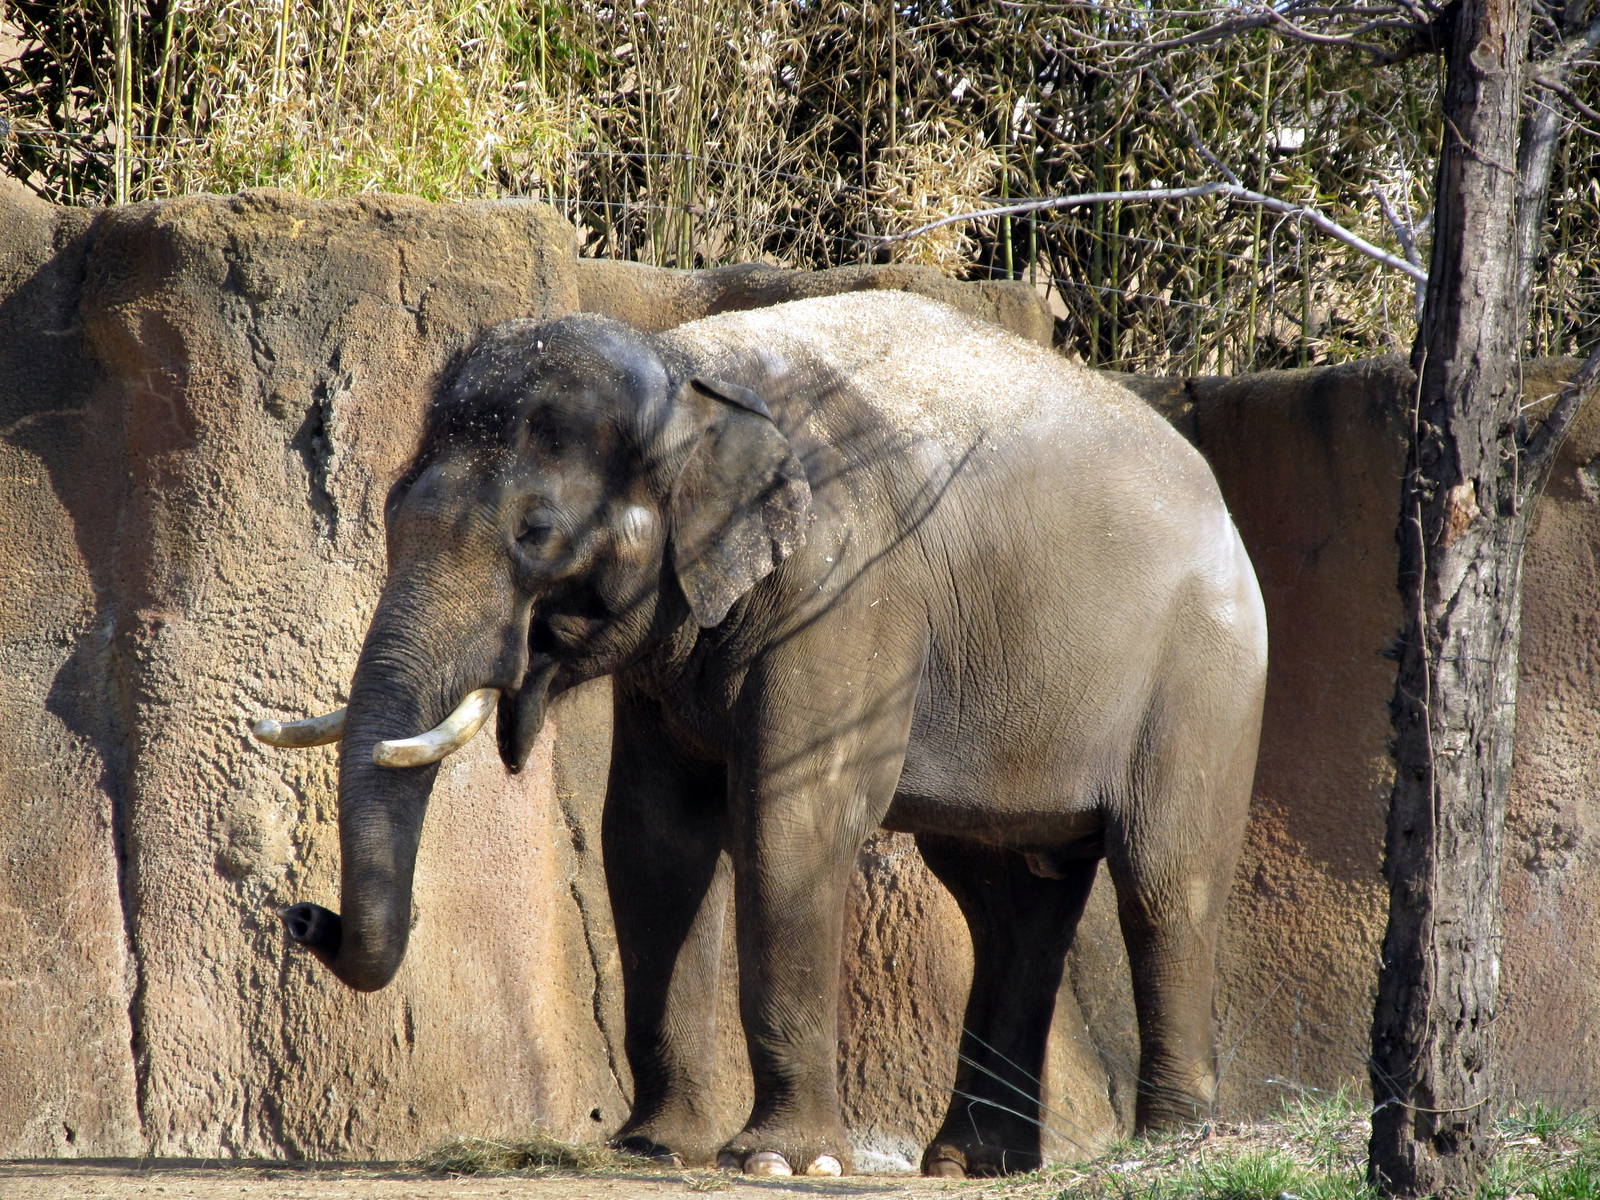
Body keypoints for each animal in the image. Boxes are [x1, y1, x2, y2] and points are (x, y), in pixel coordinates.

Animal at [254, 291, 1268, 1179]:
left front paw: (785, 1162)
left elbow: (792, 813)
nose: (302, 916)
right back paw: (973, 1163)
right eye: (391, 514)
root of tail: (1219, 501)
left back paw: (1168, 1144)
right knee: (1008, 898)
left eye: (535, 532)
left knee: (1164, 880)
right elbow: (653, 835)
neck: (686, 370)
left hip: (1206, 677)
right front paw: (655, 1149)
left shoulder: (848, 589)